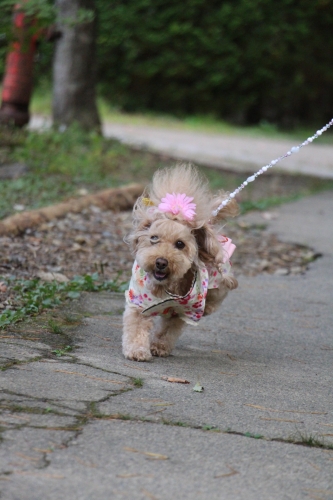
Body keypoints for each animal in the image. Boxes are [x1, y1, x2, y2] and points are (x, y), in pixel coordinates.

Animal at [122, 166, 239, 362]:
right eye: (154, 238)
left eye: (180, 244)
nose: (161, 262)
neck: (164, 288)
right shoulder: (138, 305)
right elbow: (136, 327)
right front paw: (137, 351)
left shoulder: (182, 311)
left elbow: (168, 331)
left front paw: (160, 347)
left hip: (218, 279)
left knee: (217, 295)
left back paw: (208, 307)